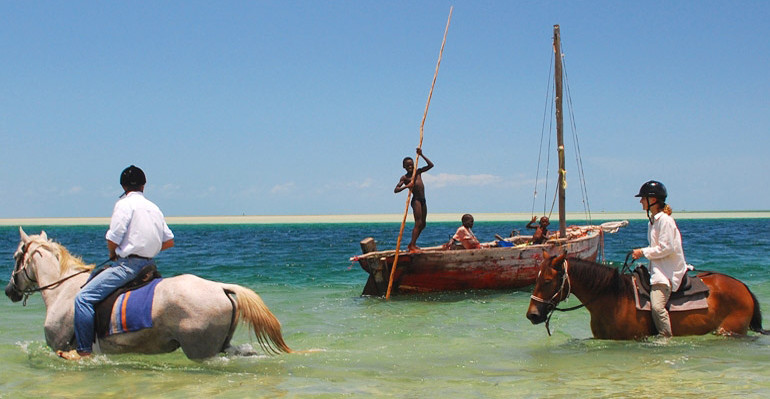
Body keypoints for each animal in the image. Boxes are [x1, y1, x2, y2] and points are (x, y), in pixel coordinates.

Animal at [5, 228, 292, 362]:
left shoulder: (63, 348)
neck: (63, 291)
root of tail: (221, 287)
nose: (9, 291)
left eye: (16, 255)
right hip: (222, 346)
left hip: (202, 350)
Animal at [524, 253, 764, 340]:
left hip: (729, 330)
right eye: (536, 279)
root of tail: (742, 286)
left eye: (547, 281)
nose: (532, 315)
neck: (614, 300)